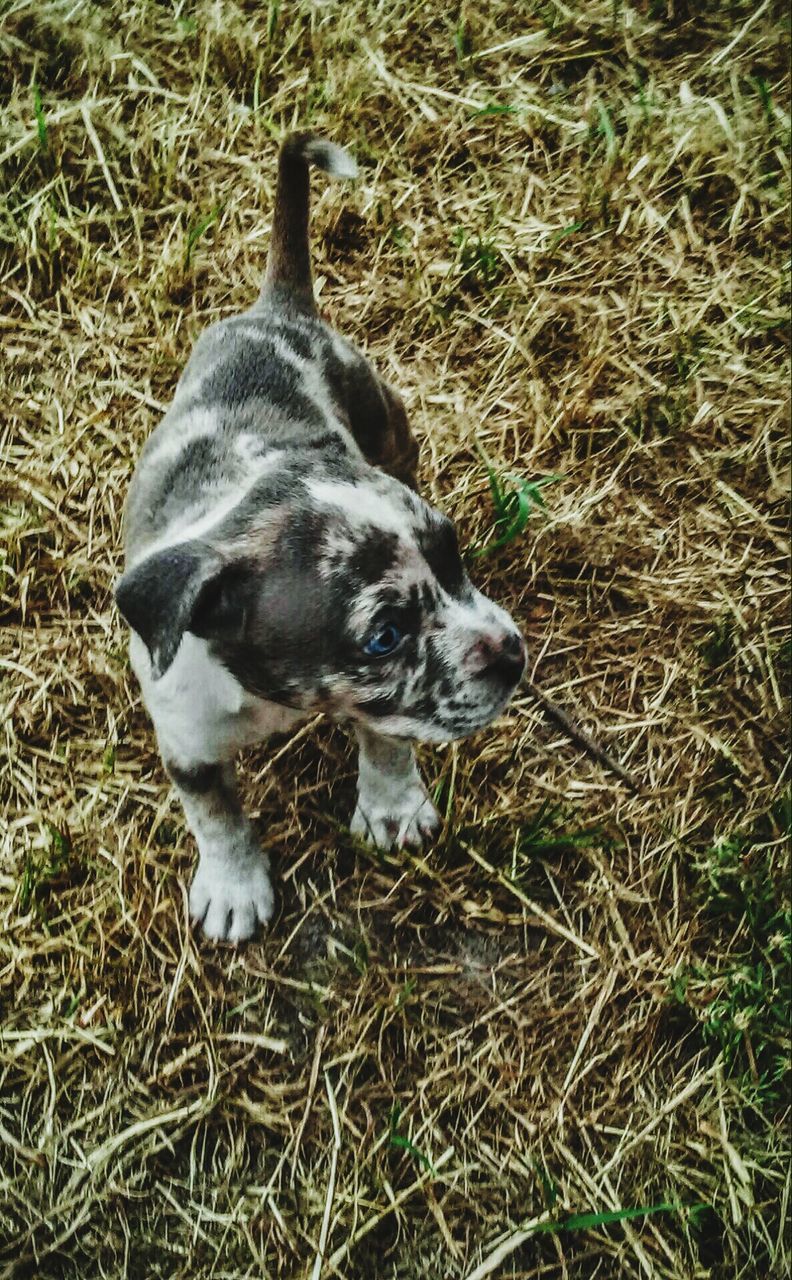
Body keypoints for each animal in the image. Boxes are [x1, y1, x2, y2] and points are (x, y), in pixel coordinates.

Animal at [116, 135, 527, 942]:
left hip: (388, 425)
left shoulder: (384, 706)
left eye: (453, 555)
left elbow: (388, 737)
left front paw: (392, 805)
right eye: (384, 636)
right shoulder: (185, 742)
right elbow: (215, 816)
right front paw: (234, 887)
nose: (512, 653)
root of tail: (278, 306)